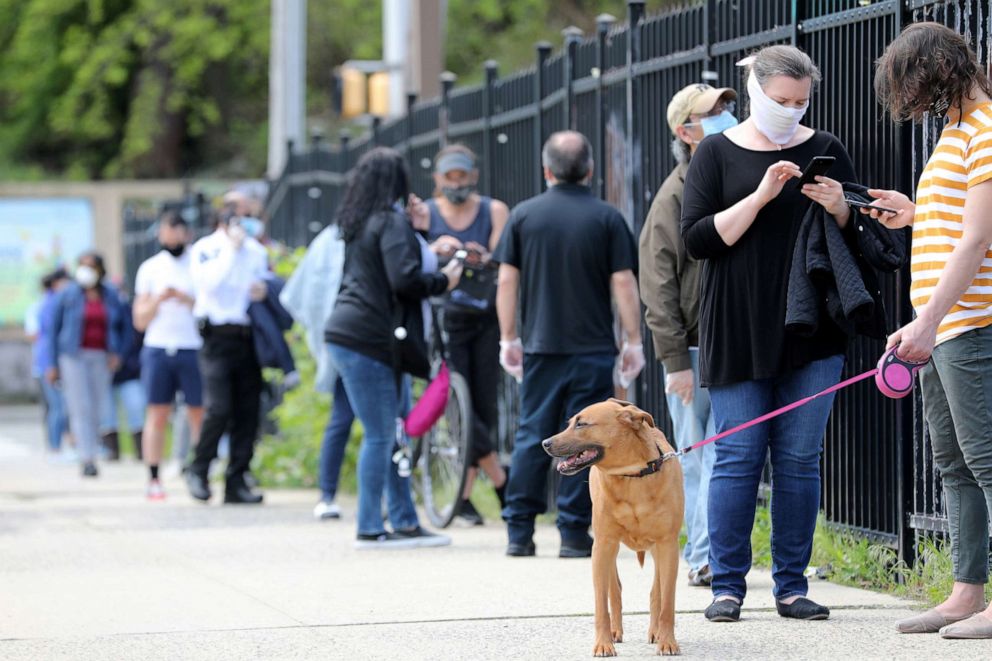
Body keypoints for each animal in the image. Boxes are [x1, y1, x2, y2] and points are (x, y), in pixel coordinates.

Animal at [544, 398, 680, 656]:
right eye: (570, 422)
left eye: (581, 424)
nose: (545, 443)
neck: (632, 475)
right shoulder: (602, 546)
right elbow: (601, 604)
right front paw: (603, 643)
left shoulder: (668, 545)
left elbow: (666, 600)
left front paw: (667, 640)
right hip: (609, 549)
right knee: (614, 589)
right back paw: (615, 631)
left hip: (657, 549)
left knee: (655, 591)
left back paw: (655, 631)